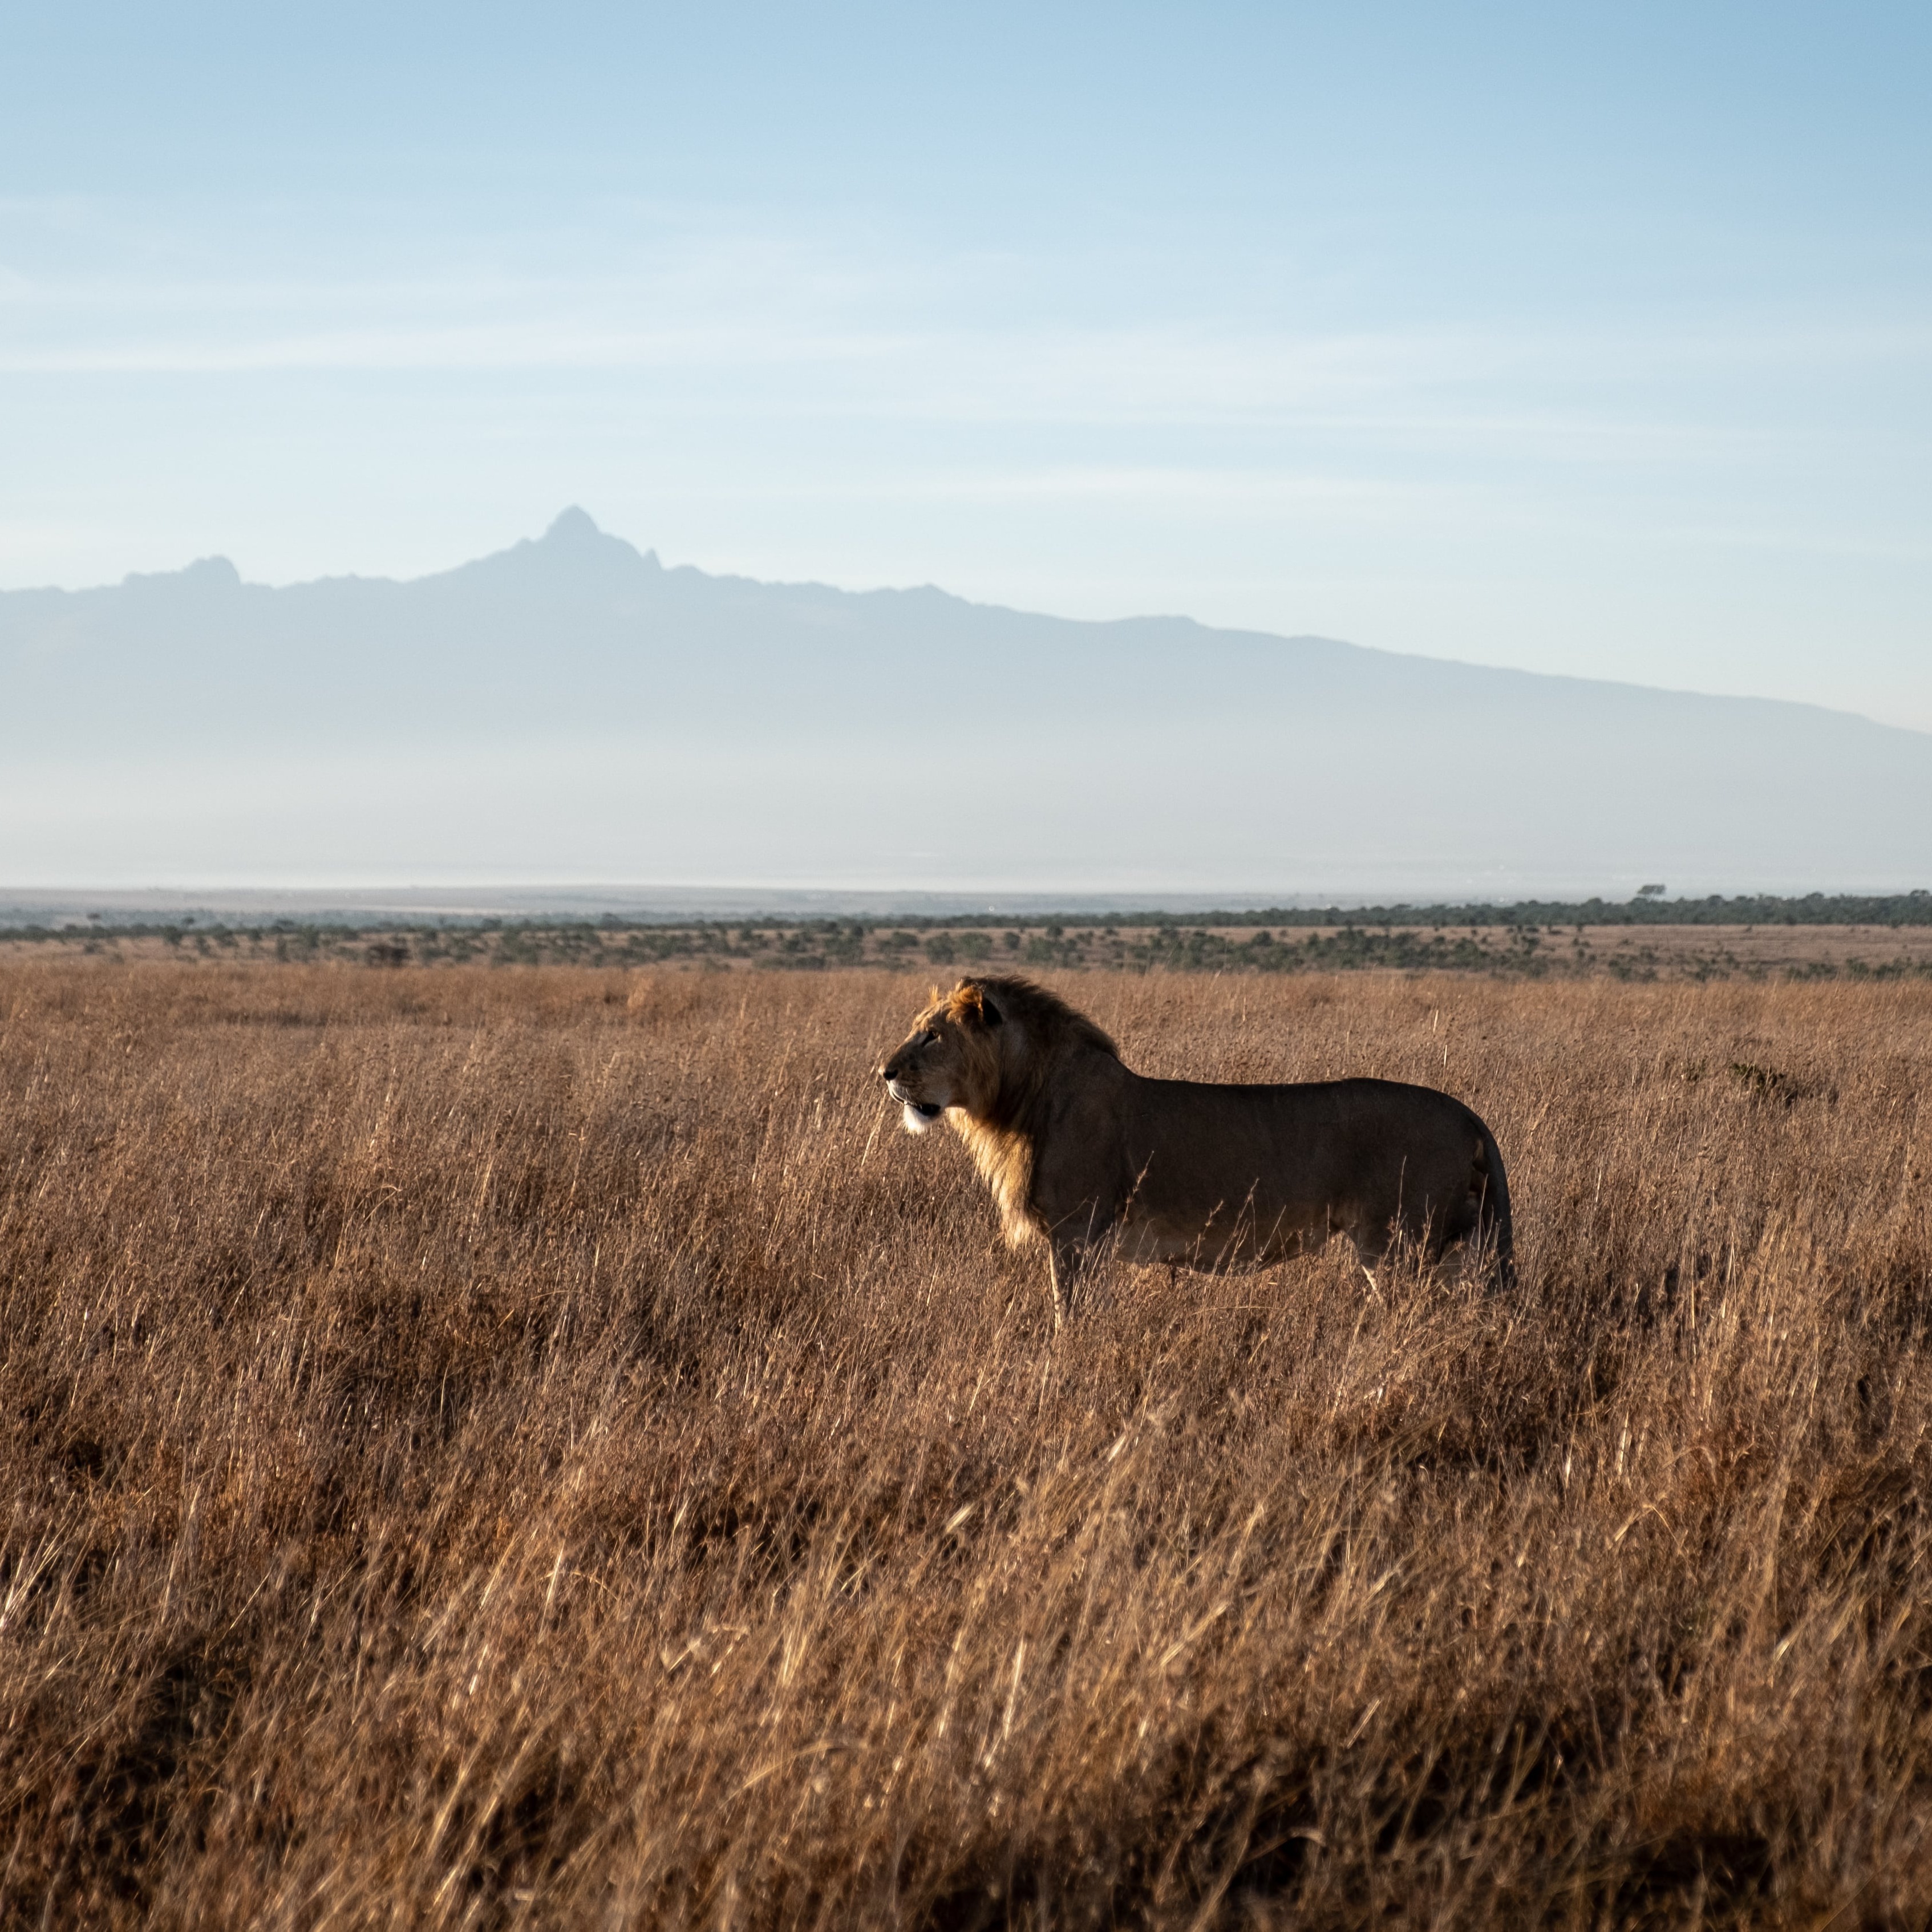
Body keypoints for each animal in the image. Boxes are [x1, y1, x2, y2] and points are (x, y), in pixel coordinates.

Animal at [877, 975, 1514, 1324]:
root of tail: (1467, 1114)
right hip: (1455, 1245)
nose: (882, 1072)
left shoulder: (1077, 1234)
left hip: (1401, 1245)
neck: (1018, 1099)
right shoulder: (1089, 1241)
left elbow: (1069, 1317)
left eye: (931, 1035)